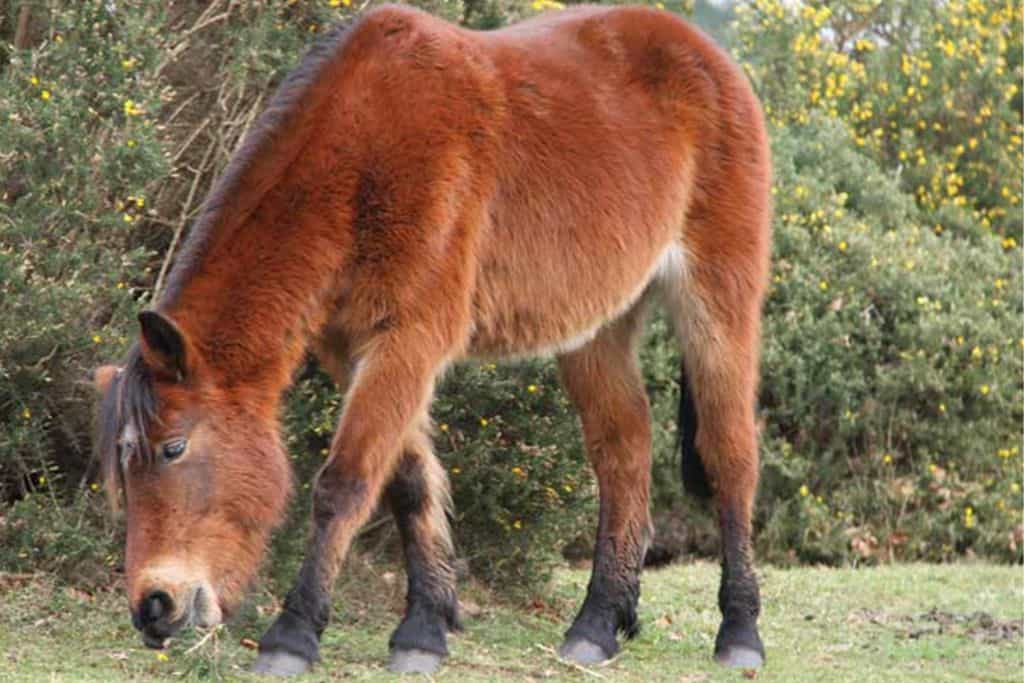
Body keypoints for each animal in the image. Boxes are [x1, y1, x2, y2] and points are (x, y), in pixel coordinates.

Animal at [94, 3, 770, 679]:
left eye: (173, 449)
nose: (153, 607)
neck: (362, 148)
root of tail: (704, 54)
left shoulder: (407, 342)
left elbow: (344, 484)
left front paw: (293, 635)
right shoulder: (355, 349)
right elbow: (407, 481)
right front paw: (424, 627)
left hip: (717, 305)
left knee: (729, 453)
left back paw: (739, 631)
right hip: (598, 326)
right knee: (623, 448)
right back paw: (598, 624)